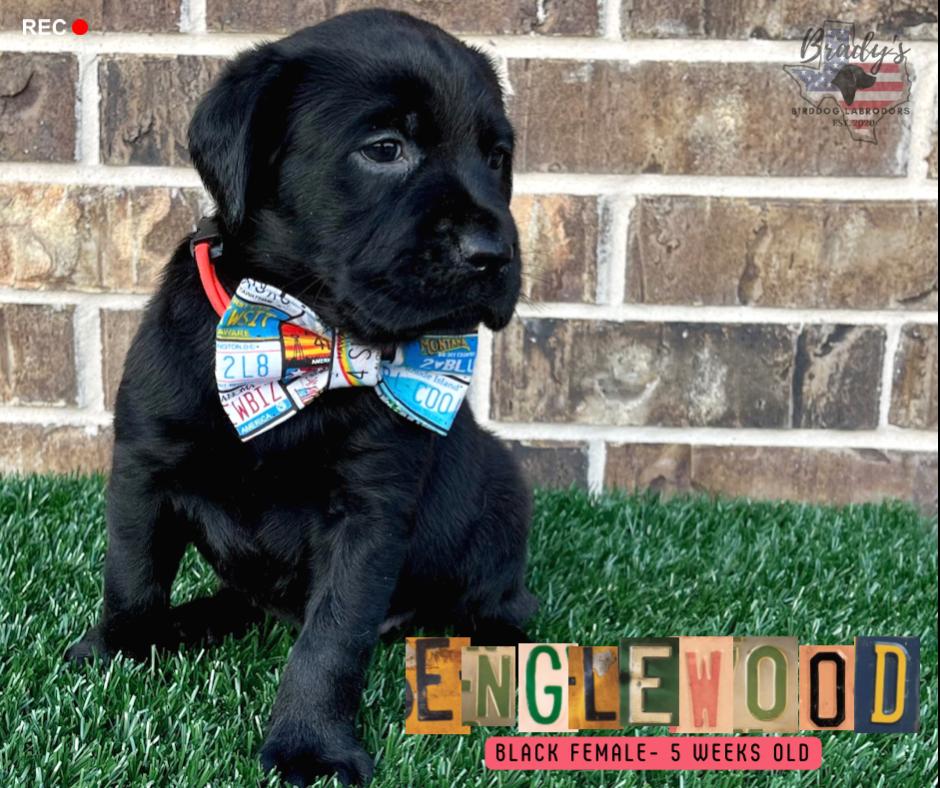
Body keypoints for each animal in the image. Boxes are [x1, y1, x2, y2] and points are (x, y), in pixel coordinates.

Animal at [66, 10, 536, 785]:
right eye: (385, 148)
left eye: (497, 156)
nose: (492, 256)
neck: (306, 339)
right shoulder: (144, 464)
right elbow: (131, 572)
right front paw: (120, 650)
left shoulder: (368, 510)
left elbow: (332, 639)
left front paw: (310, 744)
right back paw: (189, 622)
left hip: (501, 499)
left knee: (507, 603)